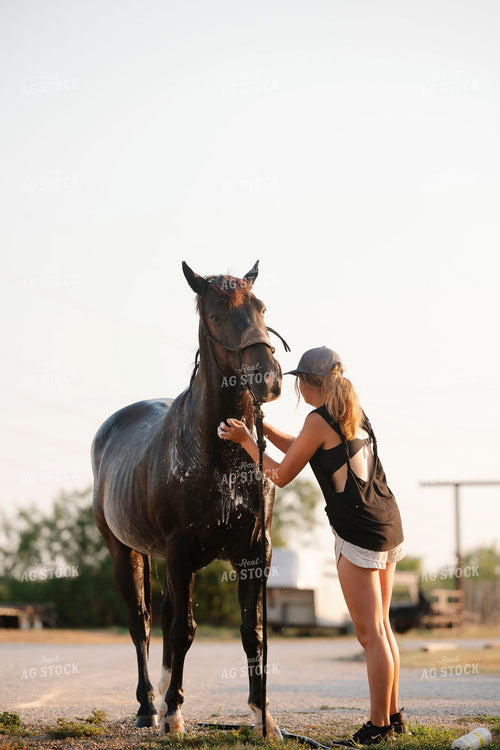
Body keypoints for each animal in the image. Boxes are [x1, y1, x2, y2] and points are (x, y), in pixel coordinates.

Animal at [91, 260, 285, 737]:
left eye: (261, 307)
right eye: (216, 315)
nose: (268, 378)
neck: (222, 454)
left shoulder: (255, 552)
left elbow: (252, 632)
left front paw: (263, 715)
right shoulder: (180, 550)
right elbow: (183, 631)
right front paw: (174, 714)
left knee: (161, 614)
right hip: (124, 551)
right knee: (141, 624)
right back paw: (149, 706)